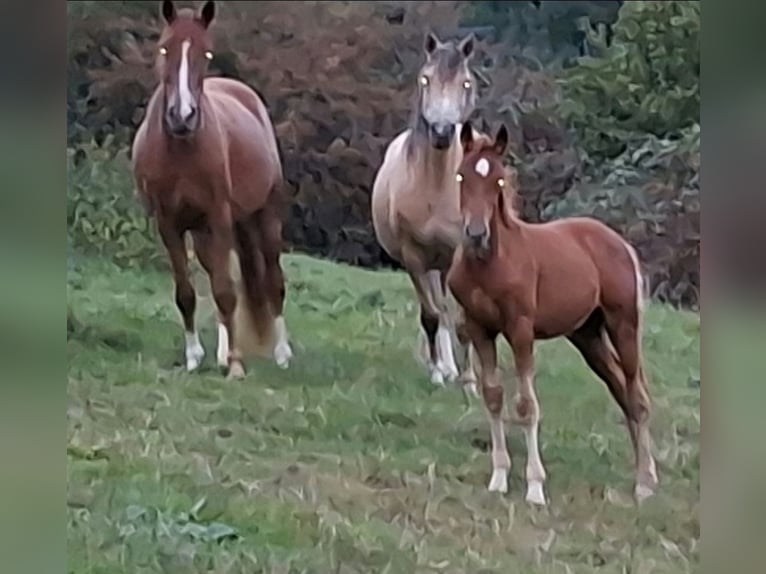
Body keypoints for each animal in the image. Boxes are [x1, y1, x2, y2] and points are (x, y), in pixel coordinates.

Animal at [131, 0, 293, 379]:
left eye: (206, 53)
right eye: (164, 48)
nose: (183, 115)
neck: (180, 150)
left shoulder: (219, 217)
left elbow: (225, 291)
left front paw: (235, 364)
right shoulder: (169, 224)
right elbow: (187, 293)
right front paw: (194, 357)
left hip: (264, 219)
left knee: (272, 282)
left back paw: (281, 353)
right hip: (205, 232)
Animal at [371, 31, 480, 393]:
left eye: (465, 83)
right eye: (425, 79)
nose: (443, 133)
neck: (436, 187)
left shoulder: (458, 254)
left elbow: (462, 318)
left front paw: (470, 381)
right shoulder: (415, 257)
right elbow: (431, 316)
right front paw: (437, 373)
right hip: (433, 265)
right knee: (439, 309)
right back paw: (445, 367)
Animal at [446, 121, 659, 505]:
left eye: (499, 181)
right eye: (460, 176)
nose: (476, 234)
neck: (490, 264)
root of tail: (619, 243)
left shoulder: (520, 330)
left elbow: (526, 406)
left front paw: (535, 487)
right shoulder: (479, 328)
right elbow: (493, 397)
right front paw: (499, 478)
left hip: (623, 325)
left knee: (637, 397)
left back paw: (645, 483)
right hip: (588, 336)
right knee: (622, 392)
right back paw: (646, 474)